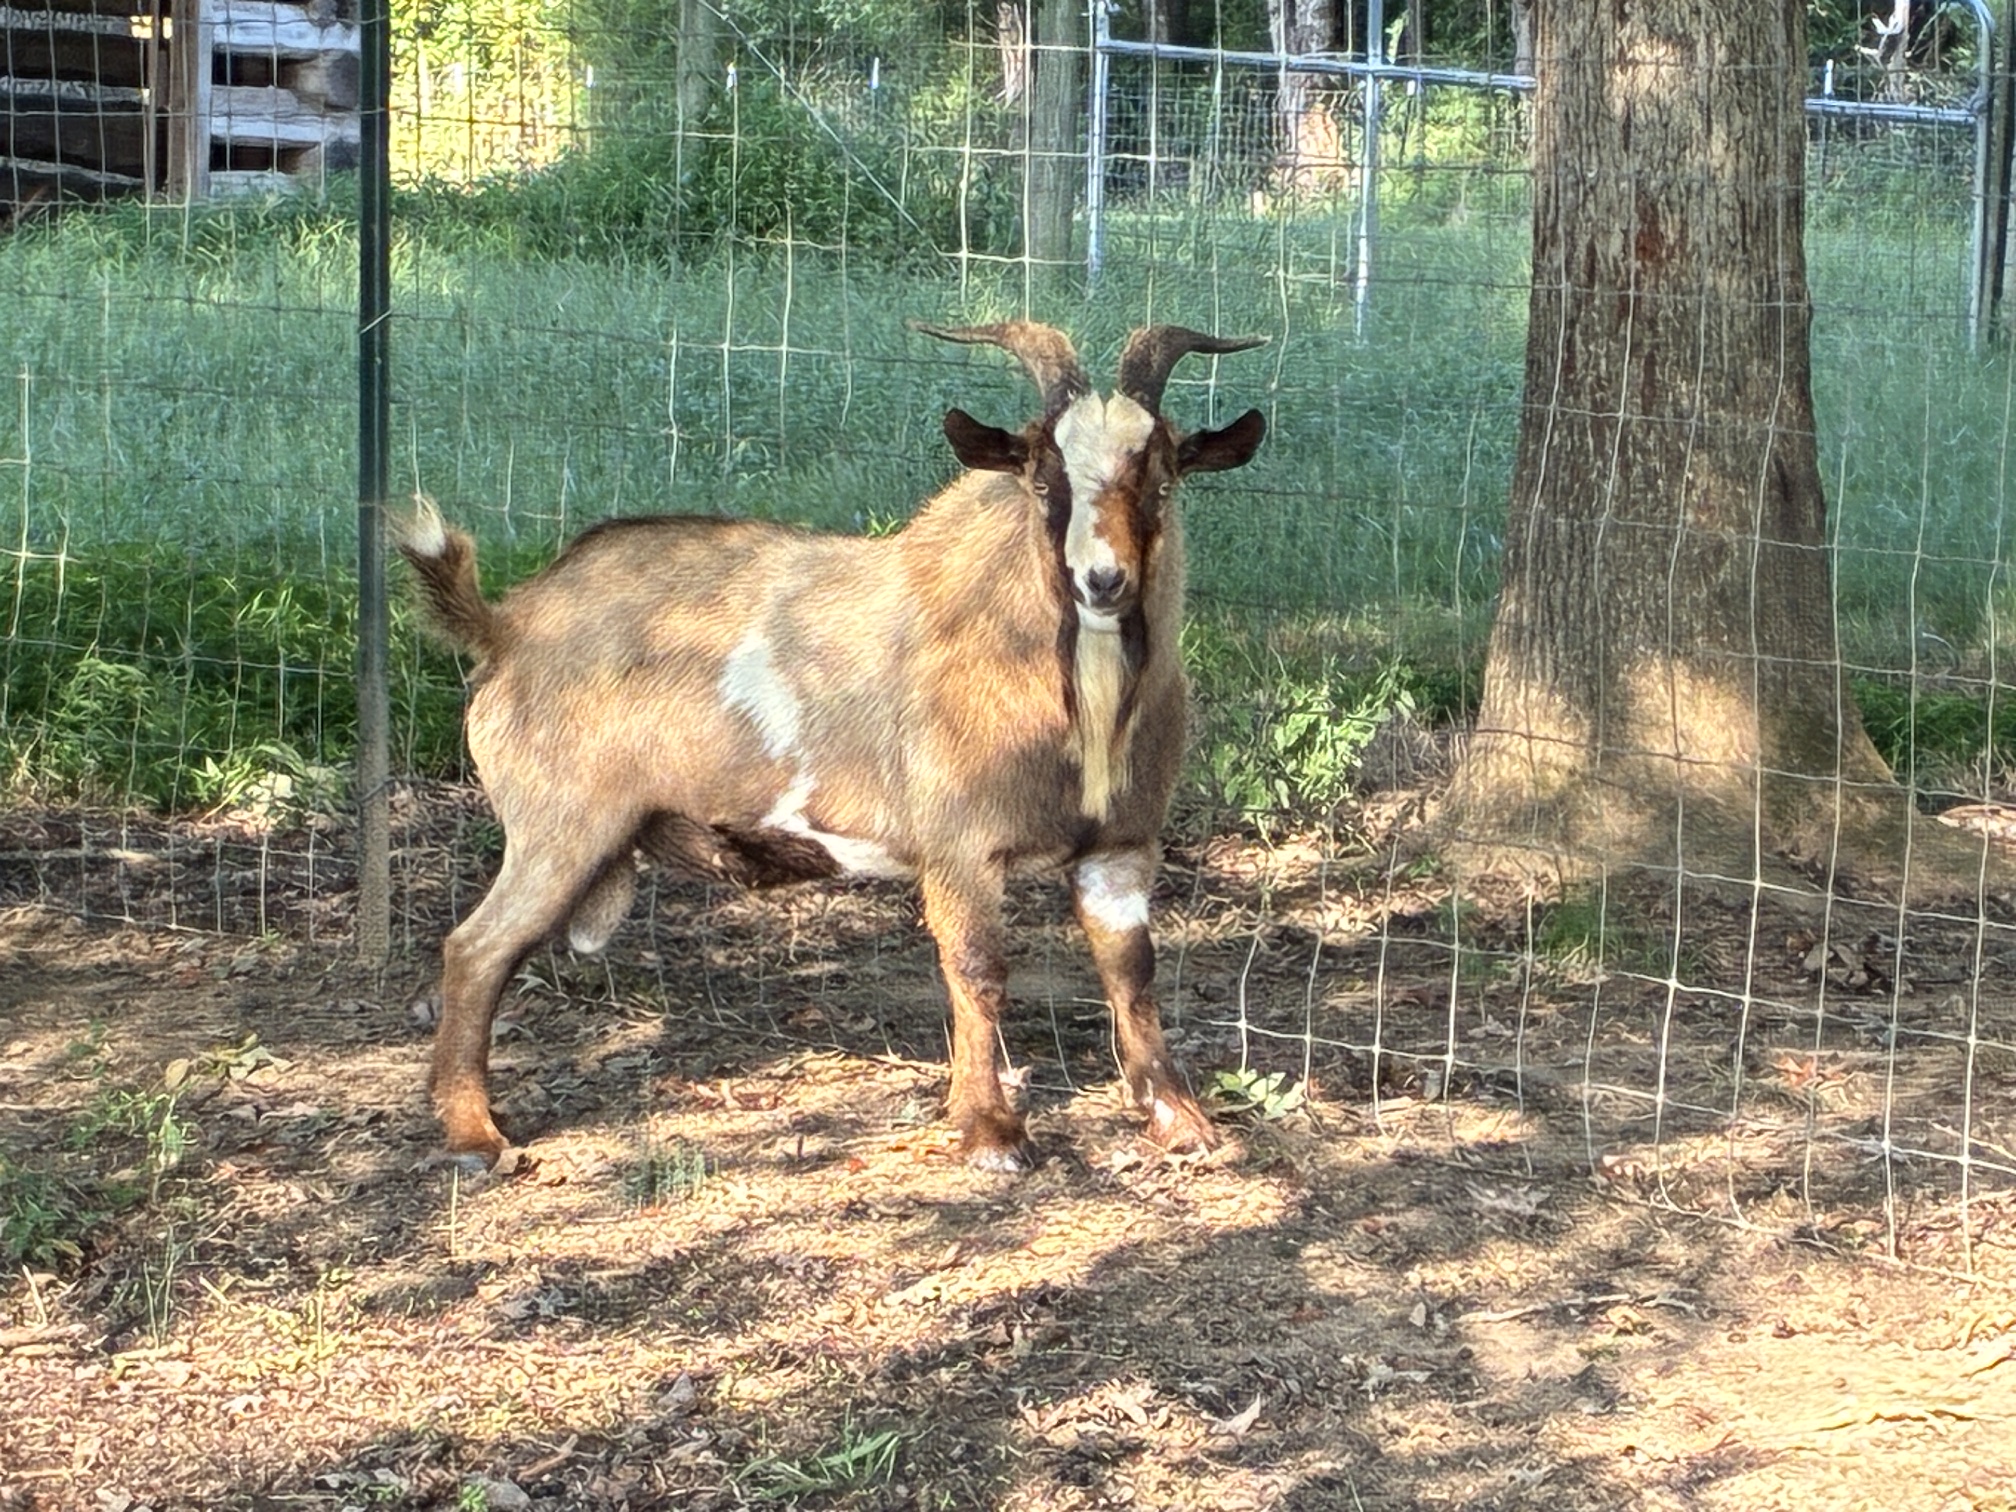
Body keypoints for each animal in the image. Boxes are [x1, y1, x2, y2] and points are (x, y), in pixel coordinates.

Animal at [393, 320, 1267, 1172]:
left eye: (1162, 481)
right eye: (1044, 482)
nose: (1103, 581)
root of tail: (509, 624)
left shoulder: (1121, 847)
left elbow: (1133, 977)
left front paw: (1181, 1121)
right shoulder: (960, 847)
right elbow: (979, 974)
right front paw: (991, 1133)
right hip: (558, 828)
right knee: (475, 951)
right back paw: (474, 1137)